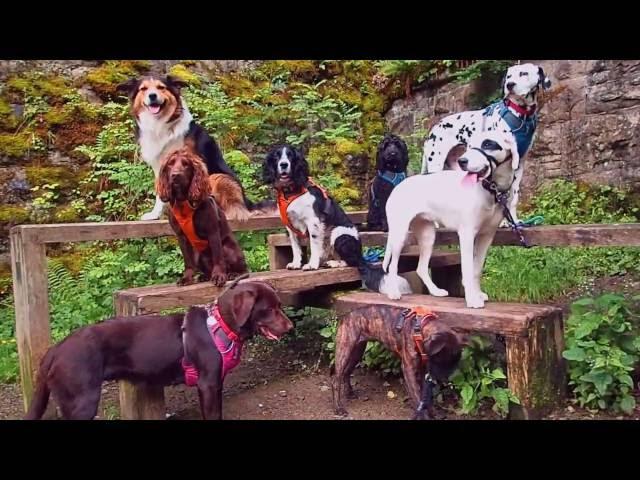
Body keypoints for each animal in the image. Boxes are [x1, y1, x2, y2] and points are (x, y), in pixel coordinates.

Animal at [262, 145, 412, 296]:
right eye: (276, 156)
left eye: (291, 156)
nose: (284, 164)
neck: (290, 192)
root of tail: (361, 256)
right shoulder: (290, 226)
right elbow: (296, 247)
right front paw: (296, 263)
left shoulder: (313, 222)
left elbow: (314, 246)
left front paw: (311, 265)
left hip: (340, 234)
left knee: (351, 262)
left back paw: (333, 263)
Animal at [384, 131, 520, 308]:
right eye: (469, 146)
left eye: (488, 144)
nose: (462, 161)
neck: (490, 189)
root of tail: (398, 186)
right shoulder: (467, 235)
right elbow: (468, 270)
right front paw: (472, 299)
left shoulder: (486, 236)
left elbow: (476, 270)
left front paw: (477, 294)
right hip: (399, 236)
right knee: (392, 266)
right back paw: (393, 292)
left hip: (428, 236)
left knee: (421, 268)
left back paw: (435, 291)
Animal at [420, 61, 552, 223]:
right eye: (509, 76)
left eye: (524, 73)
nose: (509, 85)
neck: (520, 116)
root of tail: (433, 129)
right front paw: (504, 221)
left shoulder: (519, 165)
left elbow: (513, 197)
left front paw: (513, 220)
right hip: (436, 164)